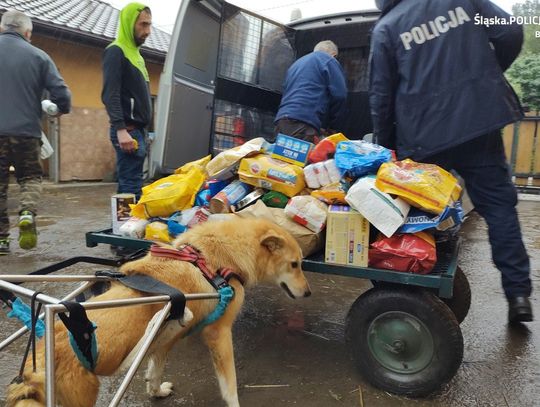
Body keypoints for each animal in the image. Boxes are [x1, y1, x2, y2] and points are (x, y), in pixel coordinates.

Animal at [6, 218, 312, 406]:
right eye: (294, 264)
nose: (308, 293)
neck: (214, 256)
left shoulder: (167, 333)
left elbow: (154, 370)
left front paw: (156, 391)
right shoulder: (219, 334)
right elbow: (230, 385)